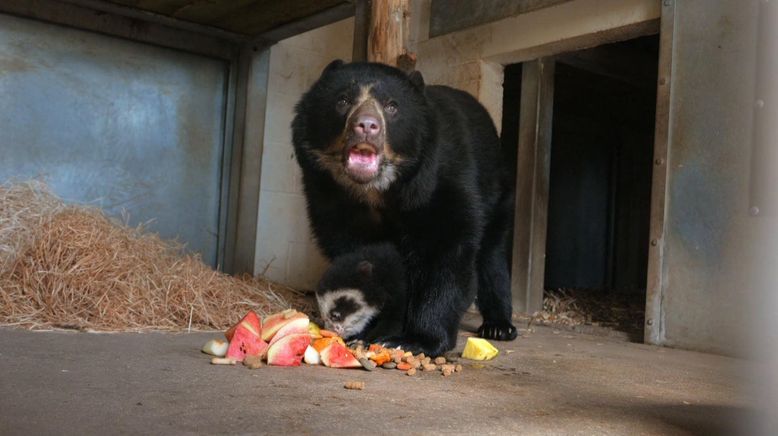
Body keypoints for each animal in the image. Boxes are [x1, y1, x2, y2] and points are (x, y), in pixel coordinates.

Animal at [292, 60, 516, 354]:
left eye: (392, 106)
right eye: (342, 100)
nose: (366, 125)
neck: (375, 191)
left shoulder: (441, 181)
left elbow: (445, 250)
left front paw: (415, 340)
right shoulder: (330, 197)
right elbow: (357, 255)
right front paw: (366, 330)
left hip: (497, 189)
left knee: (491, 253)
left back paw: (498, 326)